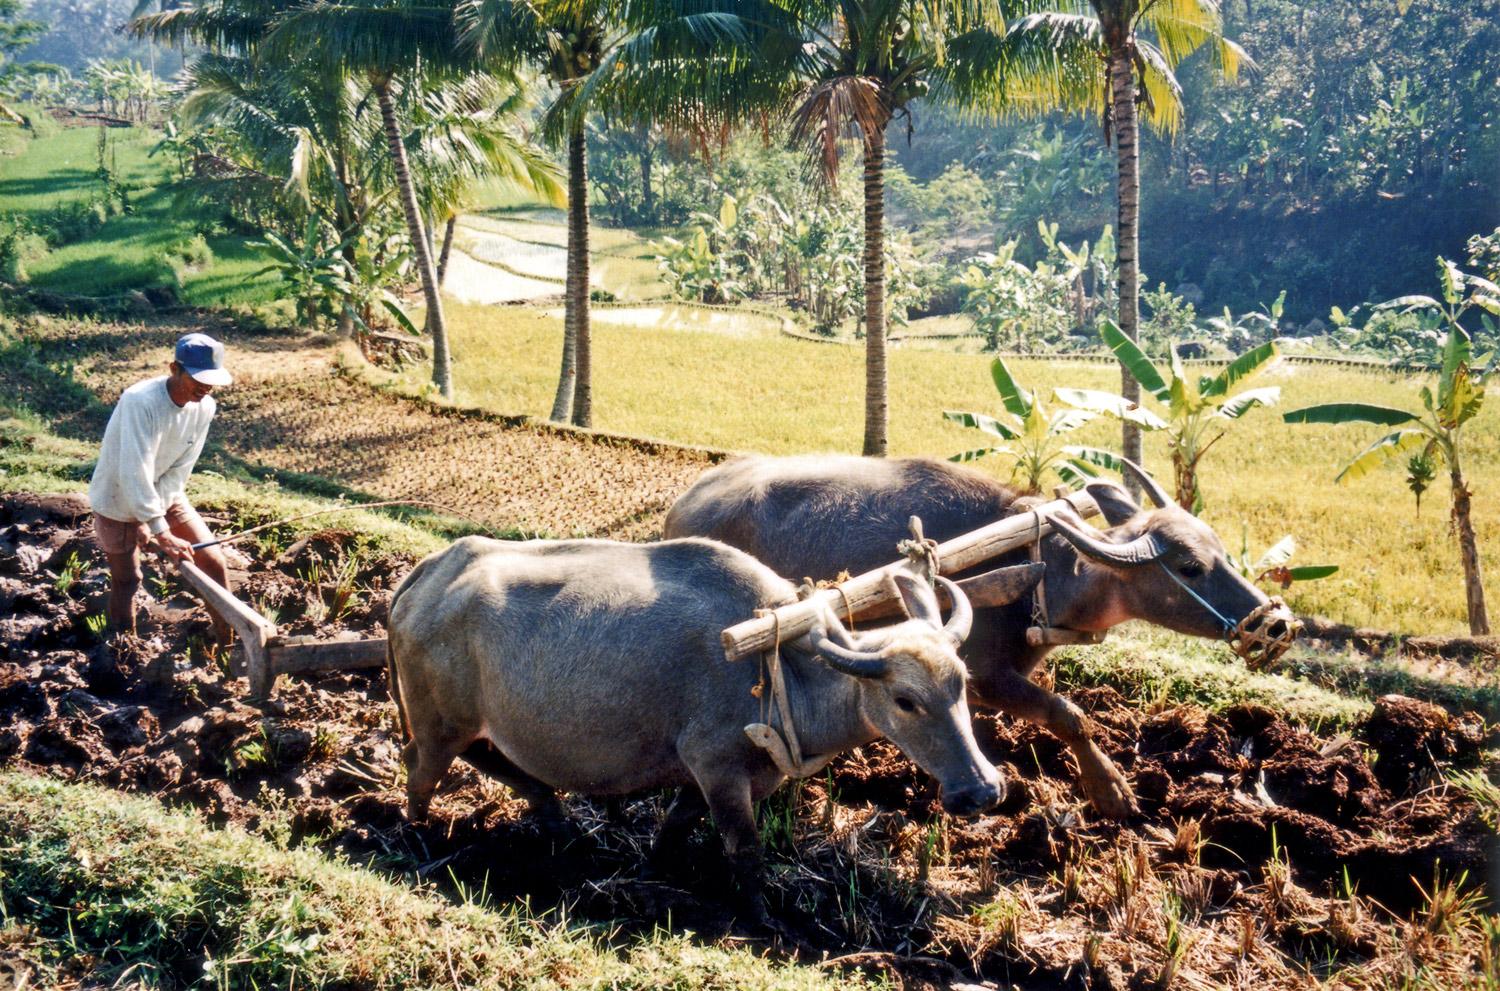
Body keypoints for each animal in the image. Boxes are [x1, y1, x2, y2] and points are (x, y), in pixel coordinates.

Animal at [384, 533, 996, 905]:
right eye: (906, 701)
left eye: (961, 684)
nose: (983, 790)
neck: (780, 669)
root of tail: (430, 571)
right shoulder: (717, 767)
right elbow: (744, 850)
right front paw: (763, 917)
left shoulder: (707, 776)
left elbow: (677, 825)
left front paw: (654, 867)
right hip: (438, 723)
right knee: (421, 768)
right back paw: (418, 838)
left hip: (466, 724)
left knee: (493, 761)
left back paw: (557, 821)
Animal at [663, 452, 1296, 815]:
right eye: (1189, 567)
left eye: (1221, 549)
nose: (1277, 624)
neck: (1040, 571)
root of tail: (682, 506)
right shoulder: (989, 675)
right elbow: (1069, 714)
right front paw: (1112, 792)